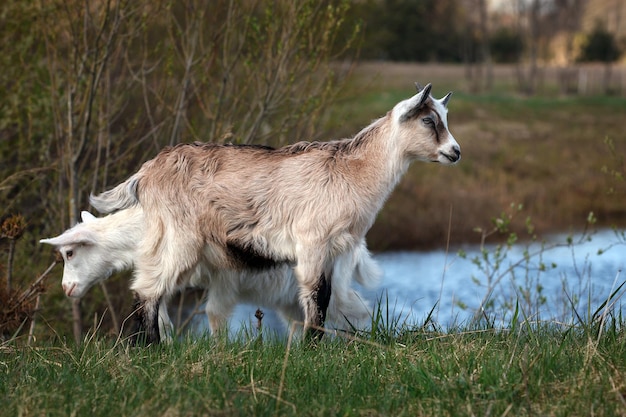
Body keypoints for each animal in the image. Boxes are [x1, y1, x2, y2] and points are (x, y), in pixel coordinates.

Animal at [41, 208, 380, 338]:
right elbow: (161, 314)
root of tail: (358, 244)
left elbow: (214, 314)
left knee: (358, 312)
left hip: (334, 284)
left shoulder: (224, 277)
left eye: (70, 252)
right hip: (289, 300)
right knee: (301, 322)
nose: (67, 289)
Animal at [83, 83, 456, 342]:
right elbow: (315, 295)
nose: (455, 152)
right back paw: (151, 348)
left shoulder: (333, 249)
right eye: (428, 120)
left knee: (147, 285)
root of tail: (148, 171)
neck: (351, 171)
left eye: (443, 119)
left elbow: (325, 296)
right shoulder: (312, 241)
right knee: (148, 288)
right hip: (179, 236)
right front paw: (311, 350)